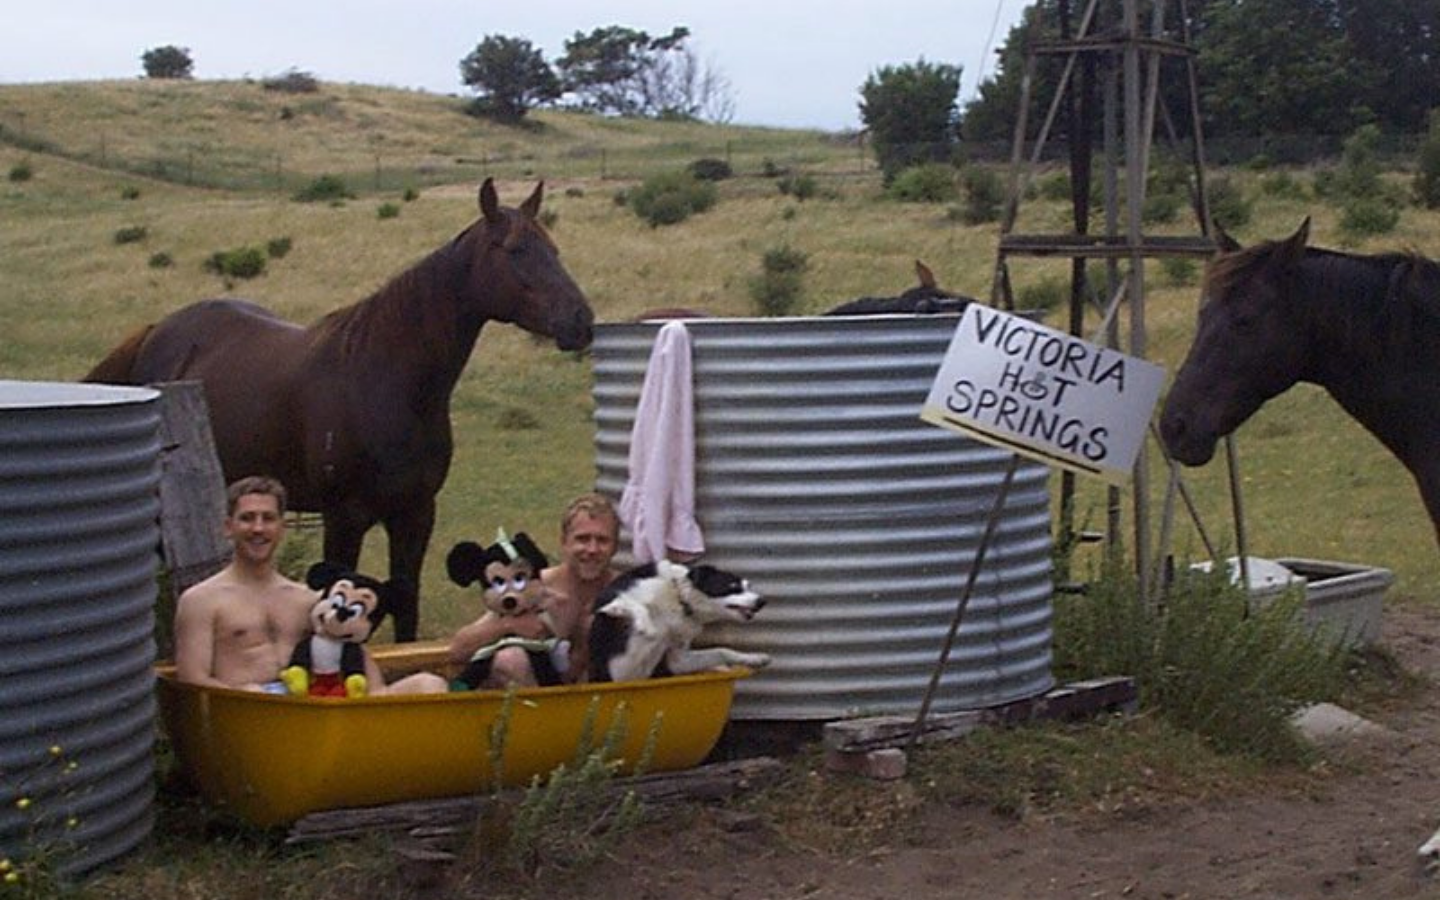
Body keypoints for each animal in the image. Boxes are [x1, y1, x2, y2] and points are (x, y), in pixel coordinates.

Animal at [87, 177, 593, 639]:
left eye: (554, 249)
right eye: (515, 250)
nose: (581, 321)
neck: (385, 384)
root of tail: (157, 331)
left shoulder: (415, 514)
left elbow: (405, 603)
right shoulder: (344, 519)